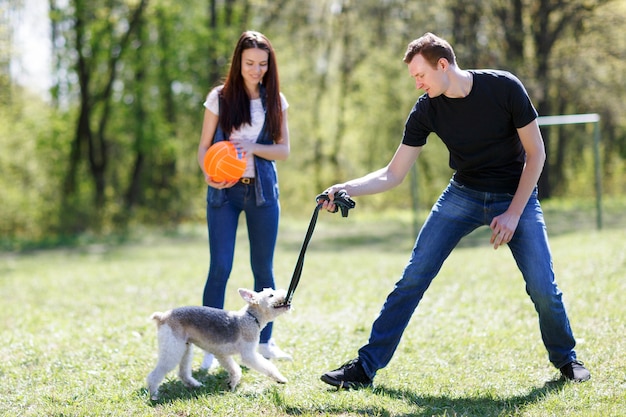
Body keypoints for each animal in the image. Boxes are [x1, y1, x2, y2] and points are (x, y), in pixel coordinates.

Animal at [146, 286, 290, 400]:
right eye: (271, 295)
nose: (287, 295)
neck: (250, 318)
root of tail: (162, 316)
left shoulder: (222, 355)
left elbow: (235, 370)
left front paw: (232, 384)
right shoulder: (249, 354)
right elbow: (268, 366)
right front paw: (280, 379)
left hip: (185, 349)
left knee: (183, 373)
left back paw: (195, 385)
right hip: (172, 349)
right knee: (155, 375)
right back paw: (154, 395)